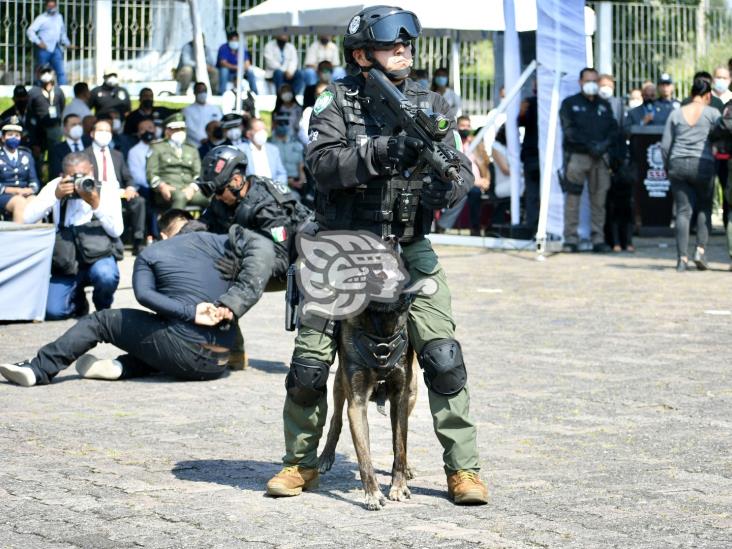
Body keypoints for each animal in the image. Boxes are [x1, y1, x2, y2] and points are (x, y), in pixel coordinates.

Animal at [316, 296, 414, 510]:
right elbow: (364, 457)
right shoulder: (357, 403)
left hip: (413, 393)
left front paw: (398, 486)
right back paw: (325, 457)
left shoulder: (401, 398)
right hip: (340, 384)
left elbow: (400, 446)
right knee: (336, 419)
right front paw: (373, 495)